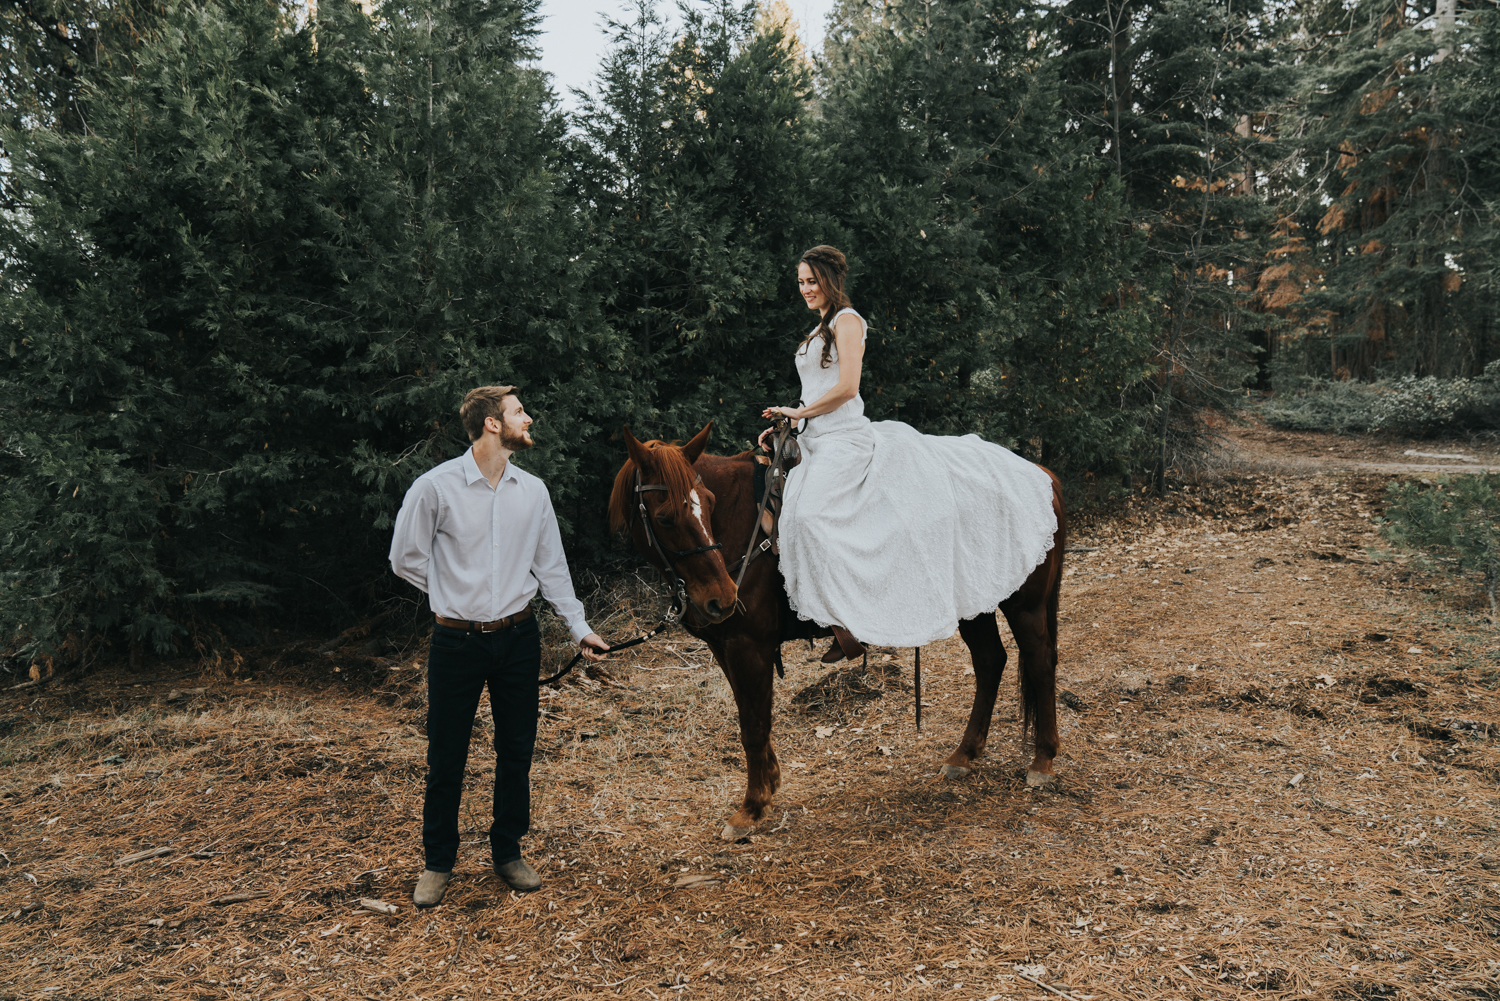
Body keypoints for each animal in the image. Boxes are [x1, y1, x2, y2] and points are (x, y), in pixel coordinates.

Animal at [609, 420, 1068, 840]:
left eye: (707, 503)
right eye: (666, 518)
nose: (722, 597)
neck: (747, 528)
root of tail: (1040, 473)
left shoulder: (748, 646)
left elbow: (753, 725)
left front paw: (751, 807)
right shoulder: (726, 646)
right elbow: (752, 718)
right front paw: (768, 785)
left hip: (1024, 605)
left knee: (1040, 661)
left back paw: (1043, 761)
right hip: (977, 605)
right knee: (991, 661)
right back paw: (964, 754)